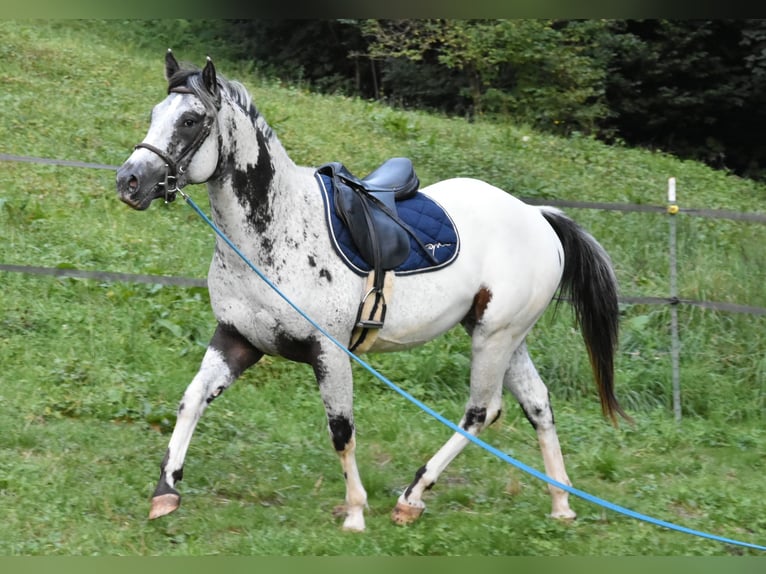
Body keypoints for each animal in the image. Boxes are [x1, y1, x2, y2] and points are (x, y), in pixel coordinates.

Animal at [114, 50, 632, 536]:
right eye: (156, 112)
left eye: (190, 120)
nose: (129, 181)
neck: (276, 229)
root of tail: (537, 216)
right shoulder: (237, 339)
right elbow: (192, 399)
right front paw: (165, 492)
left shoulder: (328, 351)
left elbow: (341, 431)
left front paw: (356, 513)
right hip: (504, 334)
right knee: (537, 404)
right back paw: (561, 504)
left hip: (494, 337)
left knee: (482, 412)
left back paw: (412, 496)